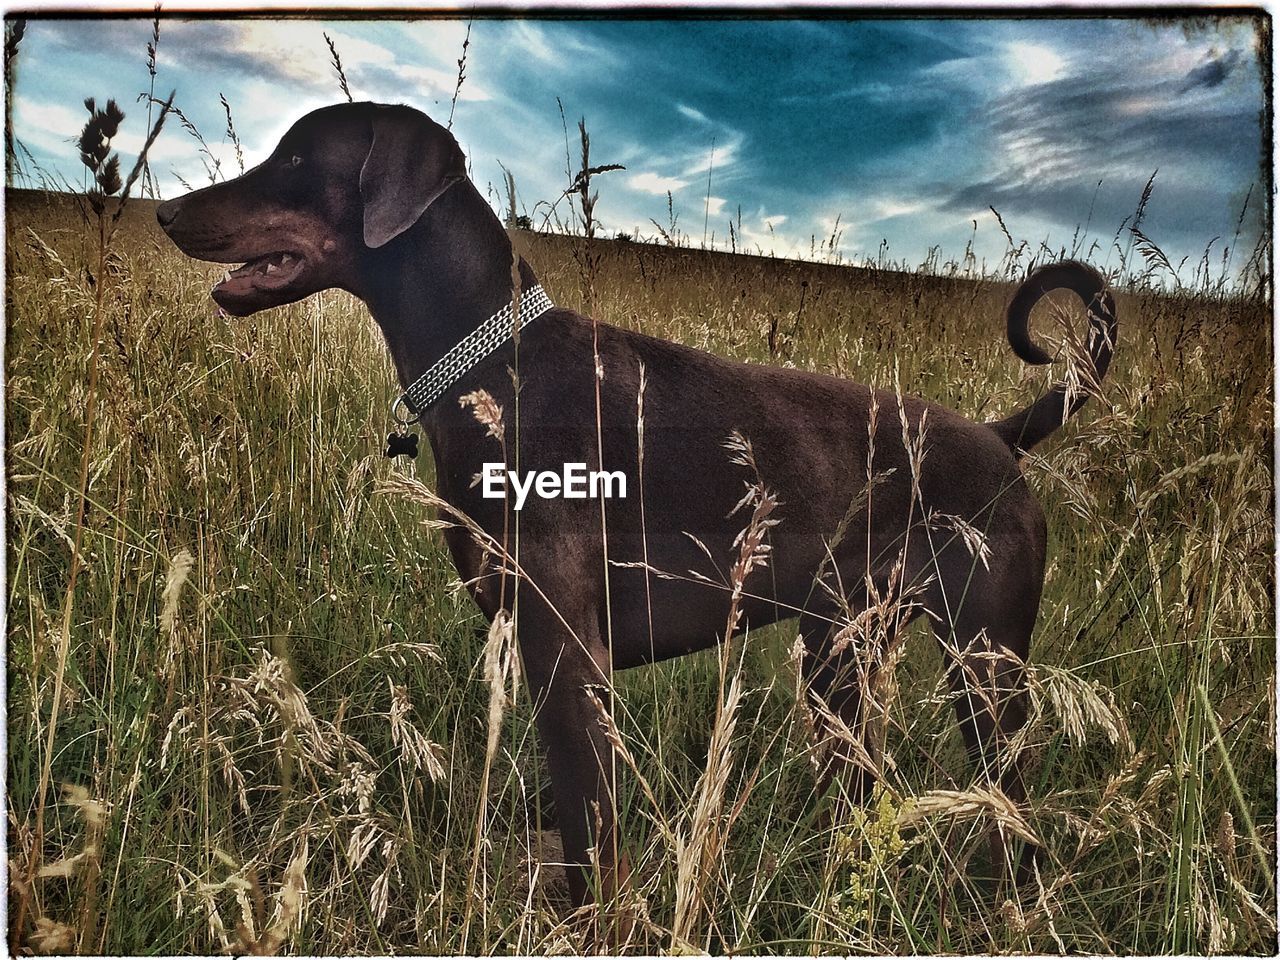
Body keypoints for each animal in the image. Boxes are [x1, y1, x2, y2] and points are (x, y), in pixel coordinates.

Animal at [157, 101, 1121, 921]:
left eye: (294, 159)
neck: (496, 370)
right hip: (840, 657)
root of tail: (1000, 436)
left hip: (985, 666)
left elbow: (593, 842)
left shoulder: (569, 657)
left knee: (1012, 812)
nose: (165, 212)